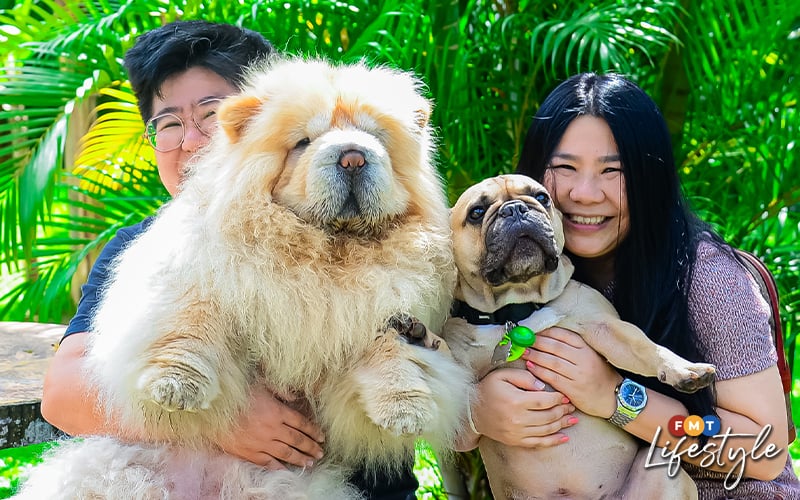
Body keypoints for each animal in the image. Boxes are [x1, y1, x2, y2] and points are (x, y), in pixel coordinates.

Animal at [15, 57, 472, 496]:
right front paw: (174, 386)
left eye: (375, 138)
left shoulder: (387, 313)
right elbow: (188, 323)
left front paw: (406, 410)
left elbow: (395, 357)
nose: (354, 156)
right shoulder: (199, 276)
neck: (325, 252)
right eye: (303, 142)